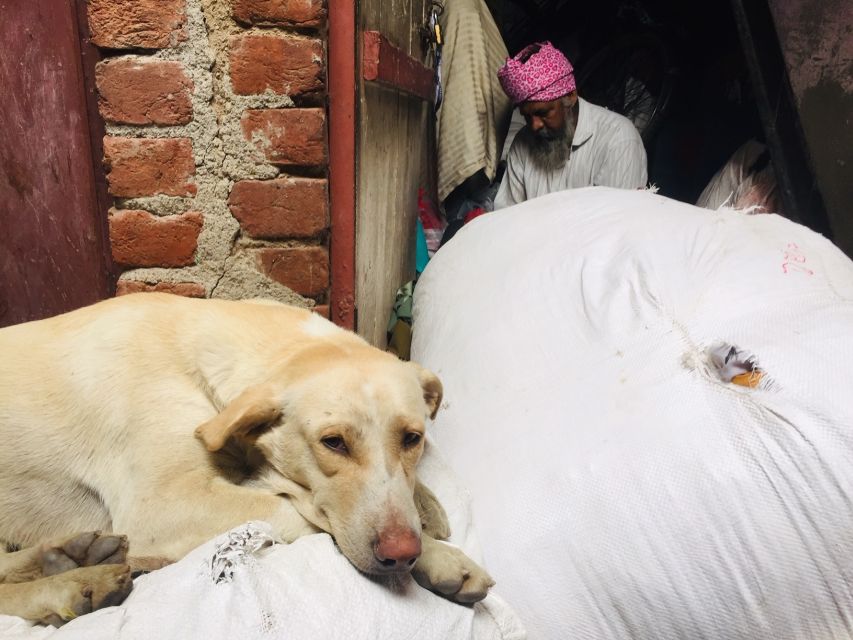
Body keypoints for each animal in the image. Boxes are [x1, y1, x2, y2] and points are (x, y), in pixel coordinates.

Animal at [0, 296, 492, 624]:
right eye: (333, 443)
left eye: (412, 438)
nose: (402, 553)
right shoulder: (160, 507)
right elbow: (304, 517)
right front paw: (439, 556)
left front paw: (428, 519)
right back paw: (76, 583)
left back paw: (73, 559)